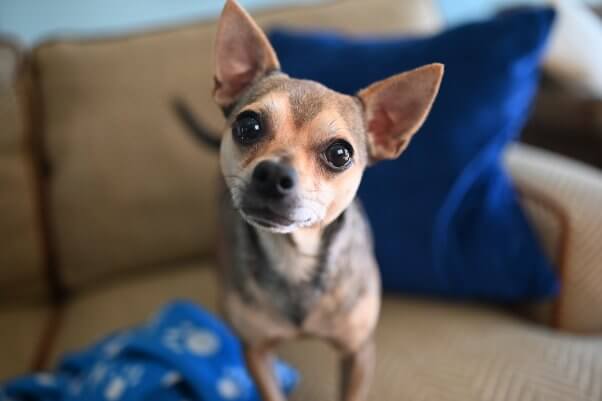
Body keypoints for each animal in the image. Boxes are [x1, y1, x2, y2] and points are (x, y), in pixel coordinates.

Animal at [173, 1, 440, 398]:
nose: (272, 174)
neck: (294, 257)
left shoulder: (358, 353)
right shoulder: (257, 353)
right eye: (248, 126)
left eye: (340, 154)